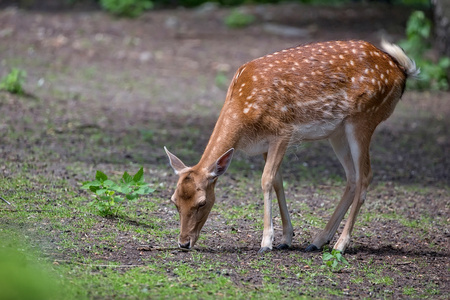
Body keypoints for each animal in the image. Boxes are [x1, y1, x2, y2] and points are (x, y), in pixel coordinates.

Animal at [164, 39, 418, 253]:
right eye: (174, 201)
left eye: (202, 202)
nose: (183, 243)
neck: (244, 113)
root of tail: (401, 70)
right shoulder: (265, 144)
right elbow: (277, 181)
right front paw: (286, 238)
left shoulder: (282, 131)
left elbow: (266, 180)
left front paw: (266, 242)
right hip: (338, 132)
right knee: (352, 177)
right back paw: (318, 241)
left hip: (363, 118)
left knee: (365, 176)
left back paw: (340, 245)